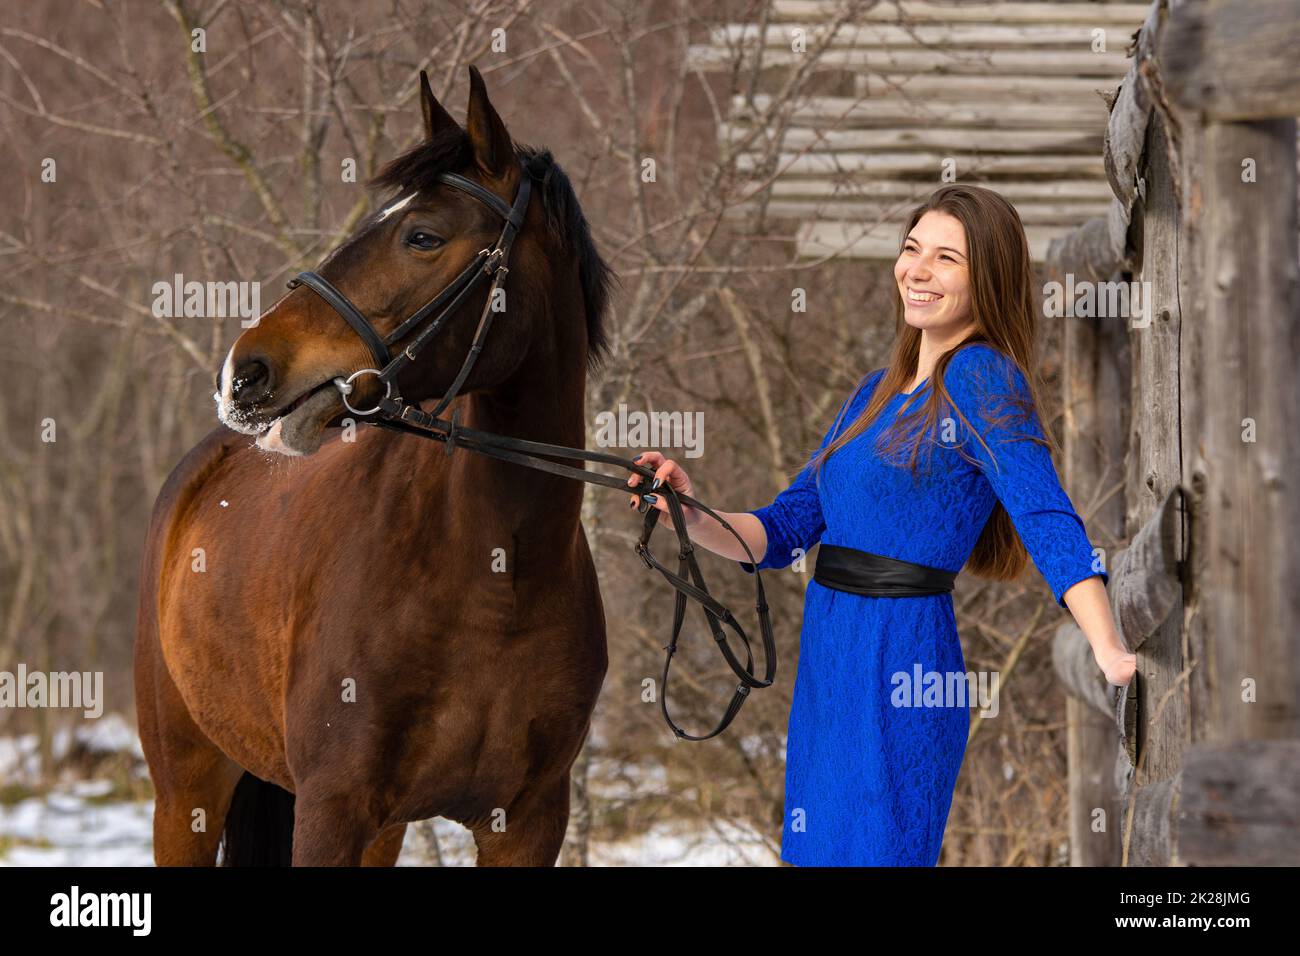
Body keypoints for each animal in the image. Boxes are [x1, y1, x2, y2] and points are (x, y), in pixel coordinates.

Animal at [131, 63, 613, 863]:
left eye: (423, 235)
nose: (246, 372)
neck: (497, 575)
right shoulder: (331, 811)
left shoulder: (528, 821)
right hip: (186, 795)